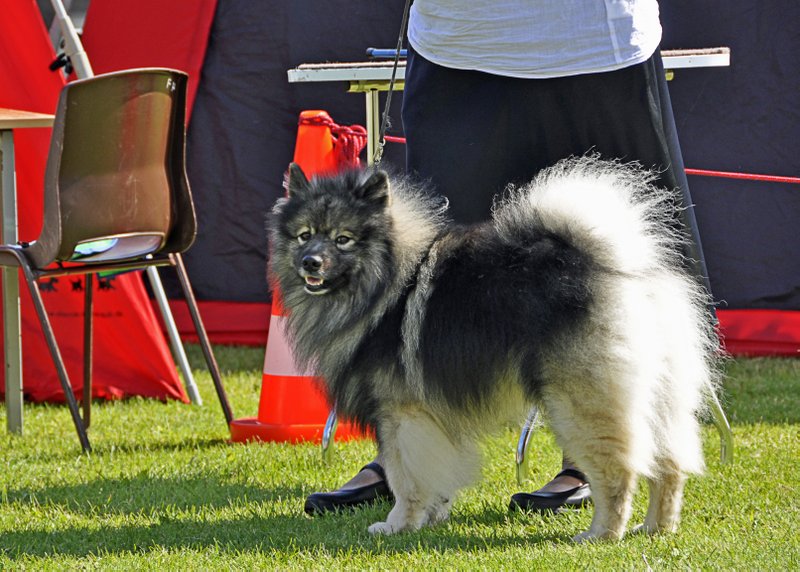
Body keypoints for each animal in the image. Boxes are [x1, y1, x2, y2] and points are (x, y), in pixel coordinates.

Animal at [268, 156, 720, 540]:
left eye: (343, 239)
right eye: (305, 235)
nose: (310, 262)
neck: (383, 285)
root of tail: (621, 266)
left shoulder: (402, 414)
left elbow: (405, 476)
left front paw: (399, 523)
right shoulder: (431, 418)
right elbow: (436, 475)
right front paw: (432, 514)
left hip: (580, 403)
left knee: (618, 471)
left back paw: (602, 534)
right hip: (657, 395)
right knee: (669, 466)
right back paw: (657, 528)